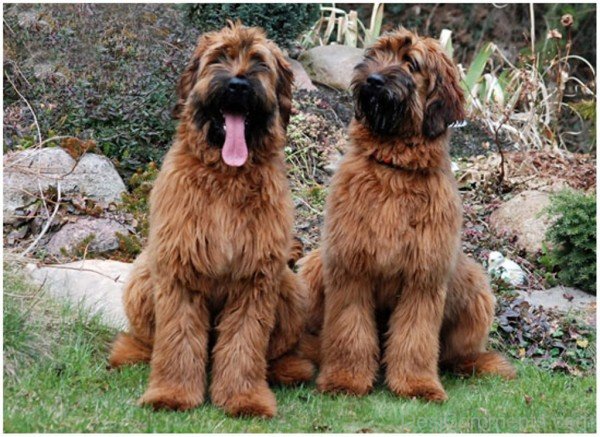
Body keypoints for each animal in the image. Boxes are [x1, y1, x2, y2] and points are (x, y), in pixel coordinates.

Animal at [108, 23, 314, 416]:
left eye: (259, 62)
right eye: (219, 57)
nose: (238, 85)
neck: (226, 177)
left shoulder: (255, 278)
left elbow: (245, 344)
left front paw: (245, 399)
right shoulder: (179, 271)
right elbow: (177, 339)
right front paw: (171, 394)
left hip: (290, 288)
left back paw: (290, 369)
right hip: (142, 277)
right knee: (146, 339)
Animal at [298, 28, 512, 402]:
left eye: (411, 63)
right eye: (376, 54)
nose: (372, 80)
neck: (393, 169)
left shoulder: (424, 277)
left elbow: (416, 337)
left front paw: (417, 385)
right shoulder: (350, 268)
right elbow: (349, 330)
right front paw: (345, 380)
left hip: (475, 288)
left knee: (456, 355)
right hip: (313, 268)